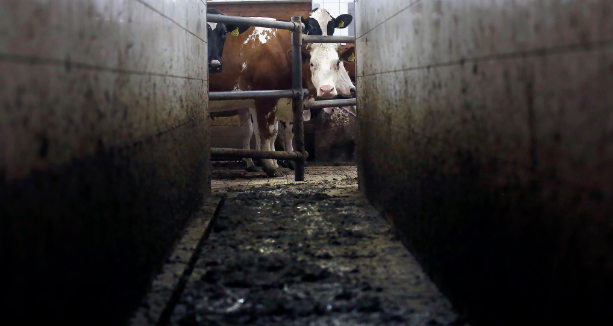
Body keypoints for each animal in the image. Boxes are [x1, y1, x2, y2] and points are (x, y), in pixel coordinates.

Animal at [208, 8, 354, 176]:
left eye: (332, 28)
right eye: (311, 27)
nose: (351, 88)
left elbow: (273, 132)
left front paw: (275, 161)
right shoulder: (264, 98)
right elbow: (266, 132)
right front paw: (270, 165)